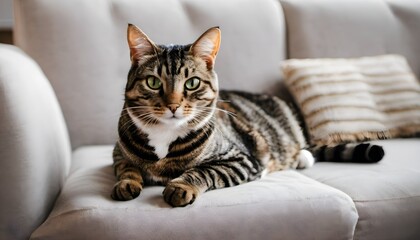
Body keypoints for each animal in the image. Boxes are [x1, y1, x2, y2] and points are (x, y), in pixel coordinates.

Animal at [110, 24, 384, 208]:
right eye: (154, 82)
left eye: (192, 83)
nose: (173, 105)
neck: (164, 137)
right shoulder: (117, 151)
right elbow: (126, 167)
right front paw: (126, 183)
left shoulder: (241, 158)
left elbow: (203, 171)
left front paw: (180, 186)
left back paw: (301, 156)